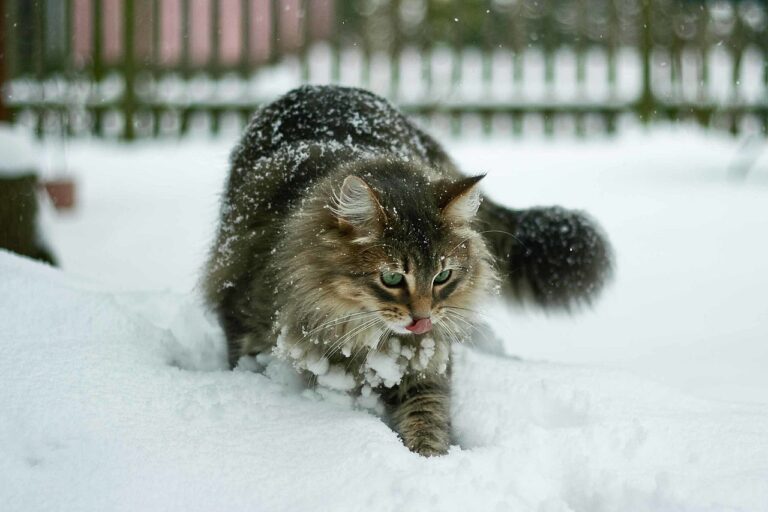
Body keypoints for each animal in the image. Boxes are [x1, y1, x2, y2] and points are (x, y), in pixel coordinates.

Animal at [202, 85, 612, 456]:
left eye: (442, 277)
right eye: (392, 278)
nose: (423, 318)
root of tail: (326, 86)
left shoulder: (423, 367)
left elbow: (426, 418)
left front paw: (429, 461)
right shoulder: (243, 314)